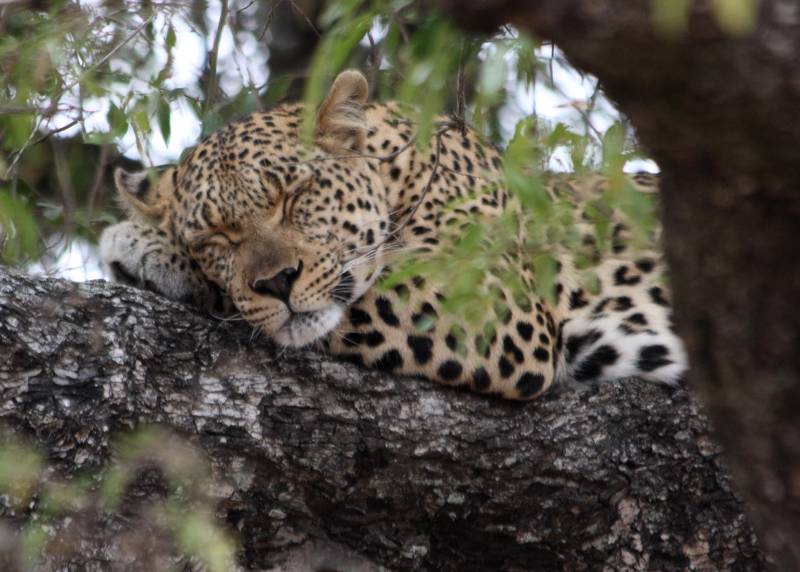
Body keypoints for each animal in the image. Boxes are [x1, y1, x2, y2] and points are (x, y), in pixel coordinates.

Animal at [99, 70, 687, 400]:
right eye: (217, 239)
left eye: (295, 194)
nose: (277, 282)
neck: (400, 174)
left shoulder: (489, 304)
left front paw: (144, 249)